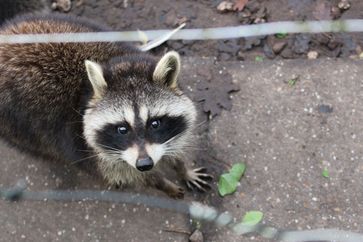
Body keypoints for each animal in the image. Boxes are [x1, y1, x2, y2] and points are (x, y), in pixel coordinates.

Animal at [0, 14, 212, 198]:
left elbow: (173, 149)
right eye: (122, 129)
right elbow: (133, 174)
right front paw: (162, 184)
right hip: (16, 125)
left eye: (155, 123)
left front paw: (183, 168)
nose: (145, 163)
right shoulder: (86, 147)